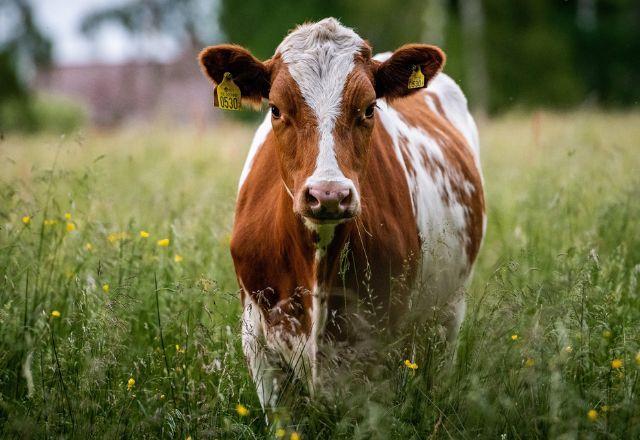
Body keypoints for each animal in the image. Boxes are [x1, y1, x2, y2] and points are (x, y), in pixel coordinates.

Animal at [199, 16, 484, 410]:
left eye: (368, 108)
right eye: (276, 109)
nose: (329, 194)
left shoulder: (382, 345)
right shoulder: (258, 345)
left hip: (449, 311)